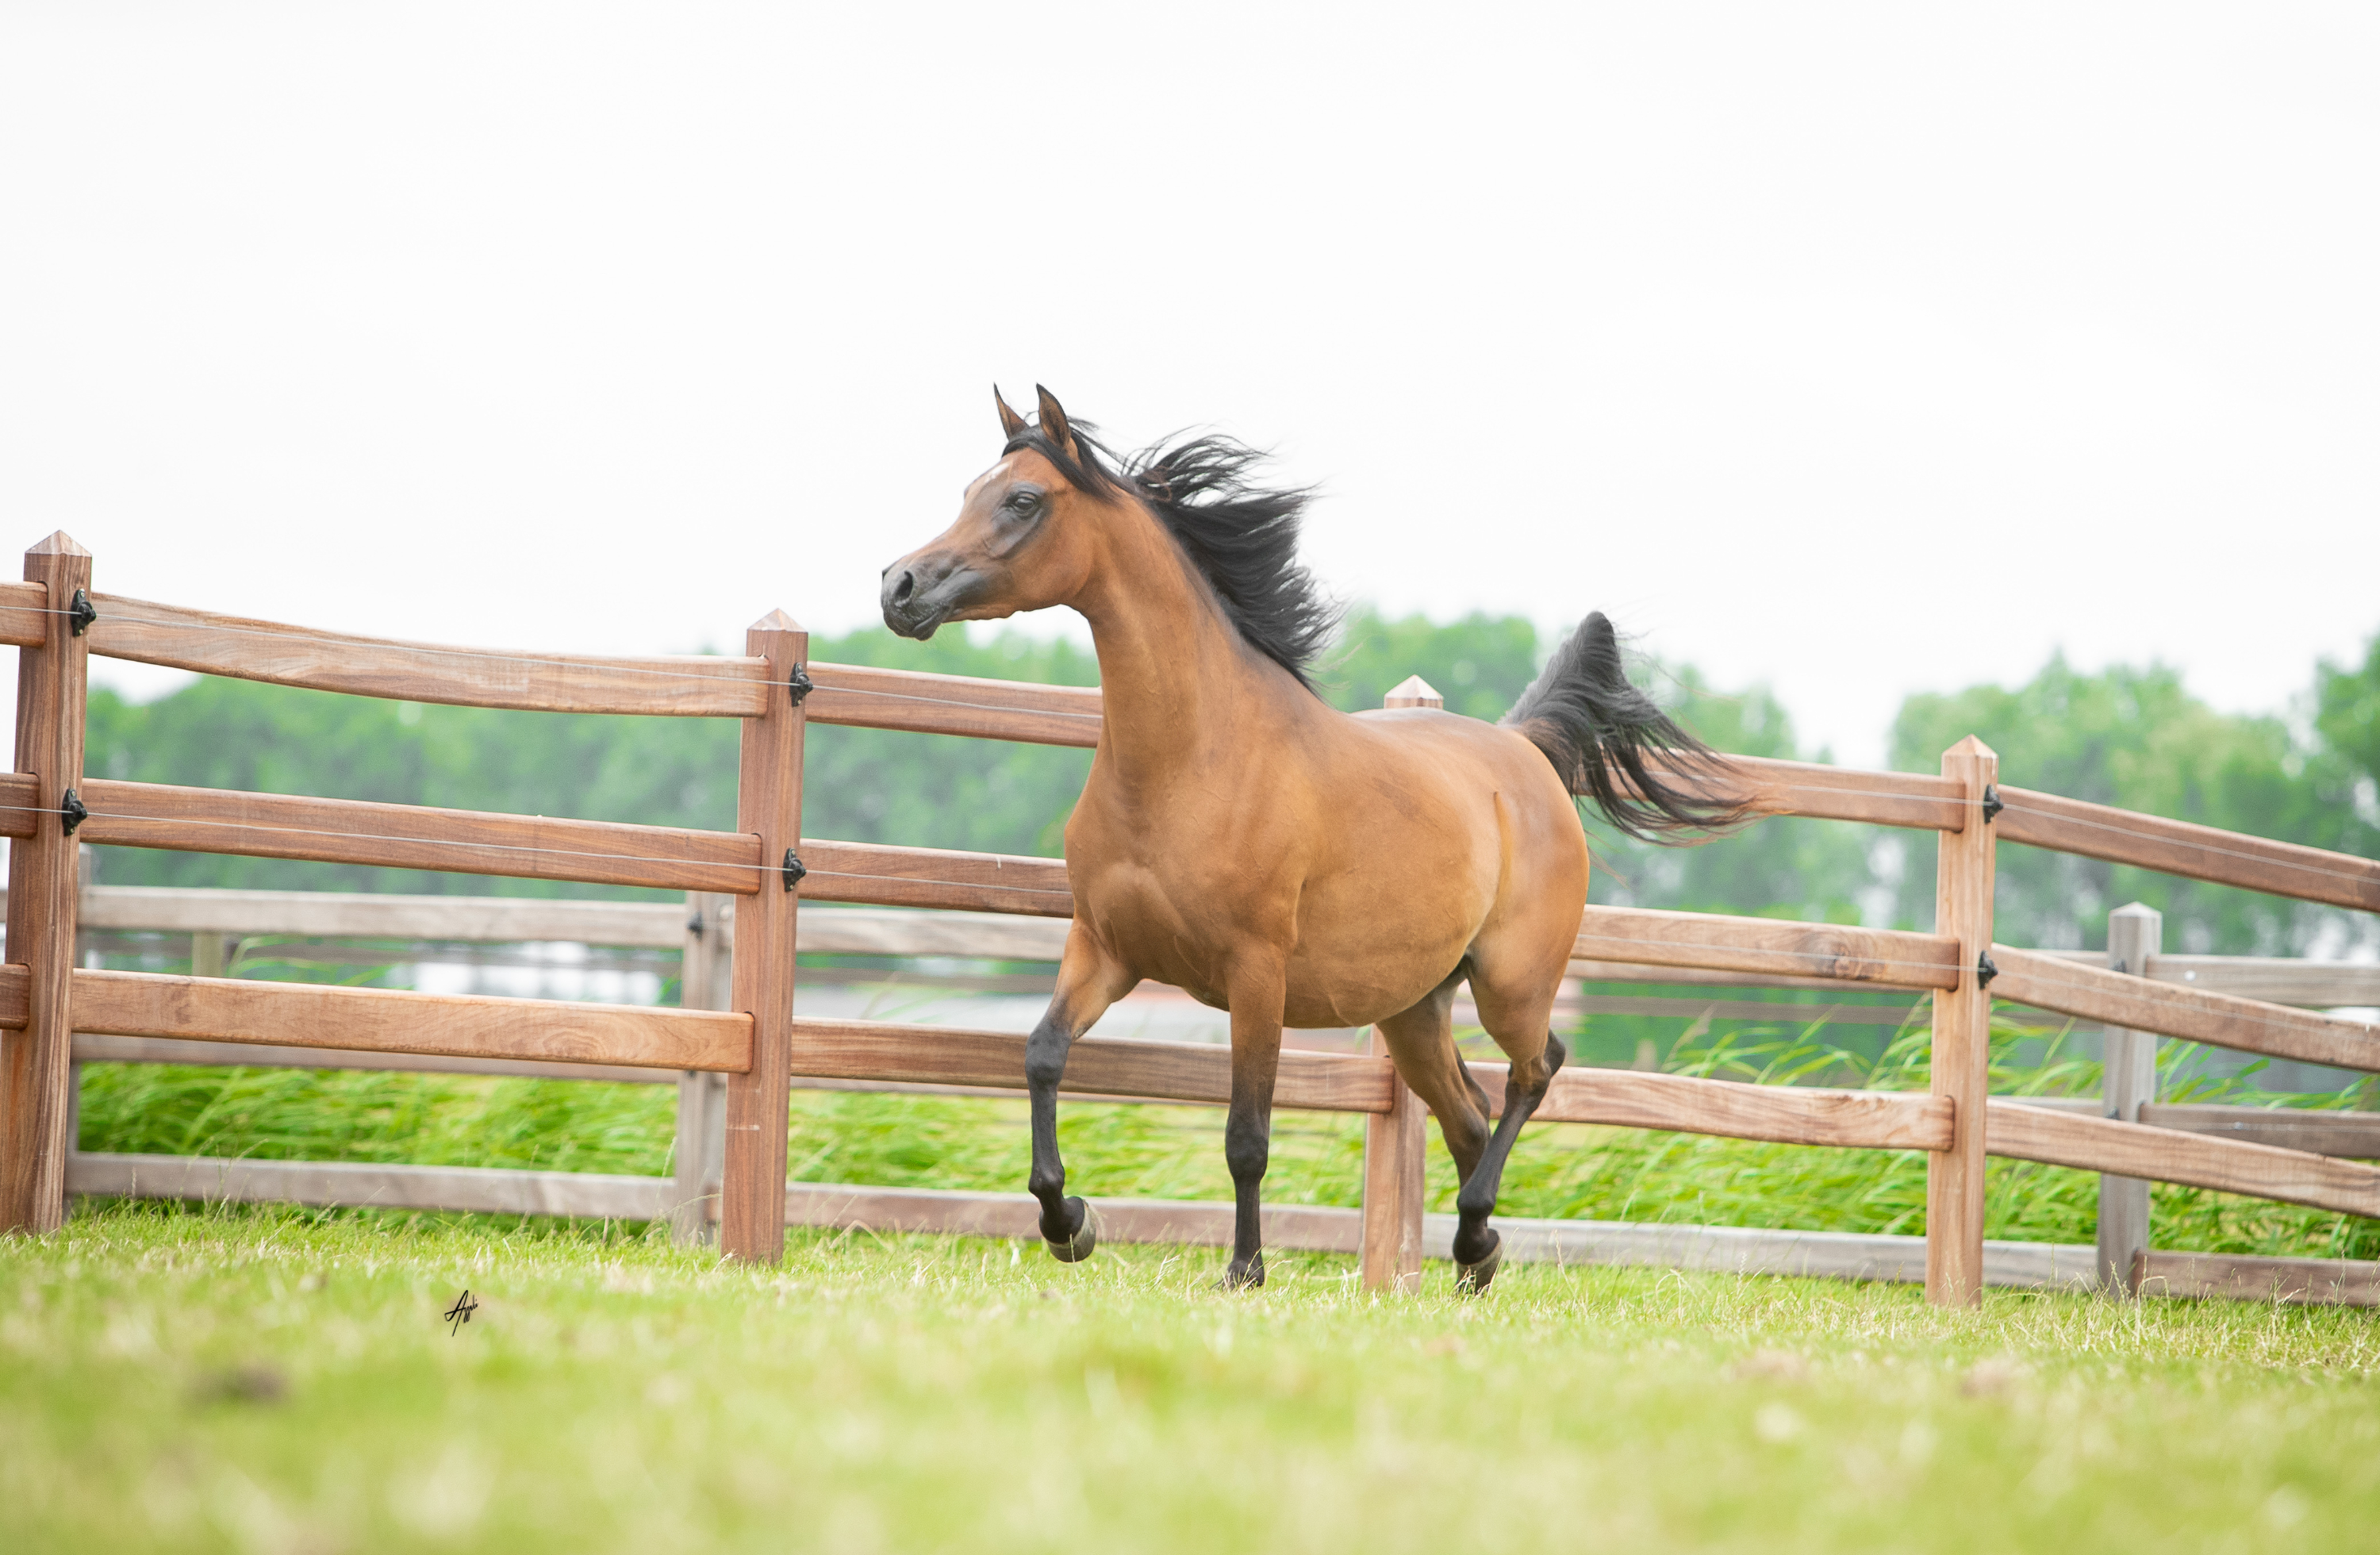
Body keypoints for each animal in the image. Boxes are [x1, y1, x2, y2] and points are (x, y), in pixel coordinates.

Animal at [880, 387, 1741, 1291]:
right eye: (970, 490)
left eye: (1023, 500)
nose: (899, 587)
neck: (1192, 760)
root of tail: (1526, 750)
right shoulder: (1105, 948)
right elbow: (1042, 1055)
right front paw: (1068, 1224)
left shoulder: (1256, 974)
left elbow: (1246, 1136)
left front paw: (1244, 1271)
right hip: (1413, 1009)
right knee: (1469, 1114)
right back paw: (1475, 1261)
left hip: (1513, 983)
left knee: (1537, 1071)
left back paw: (1475, 1238)